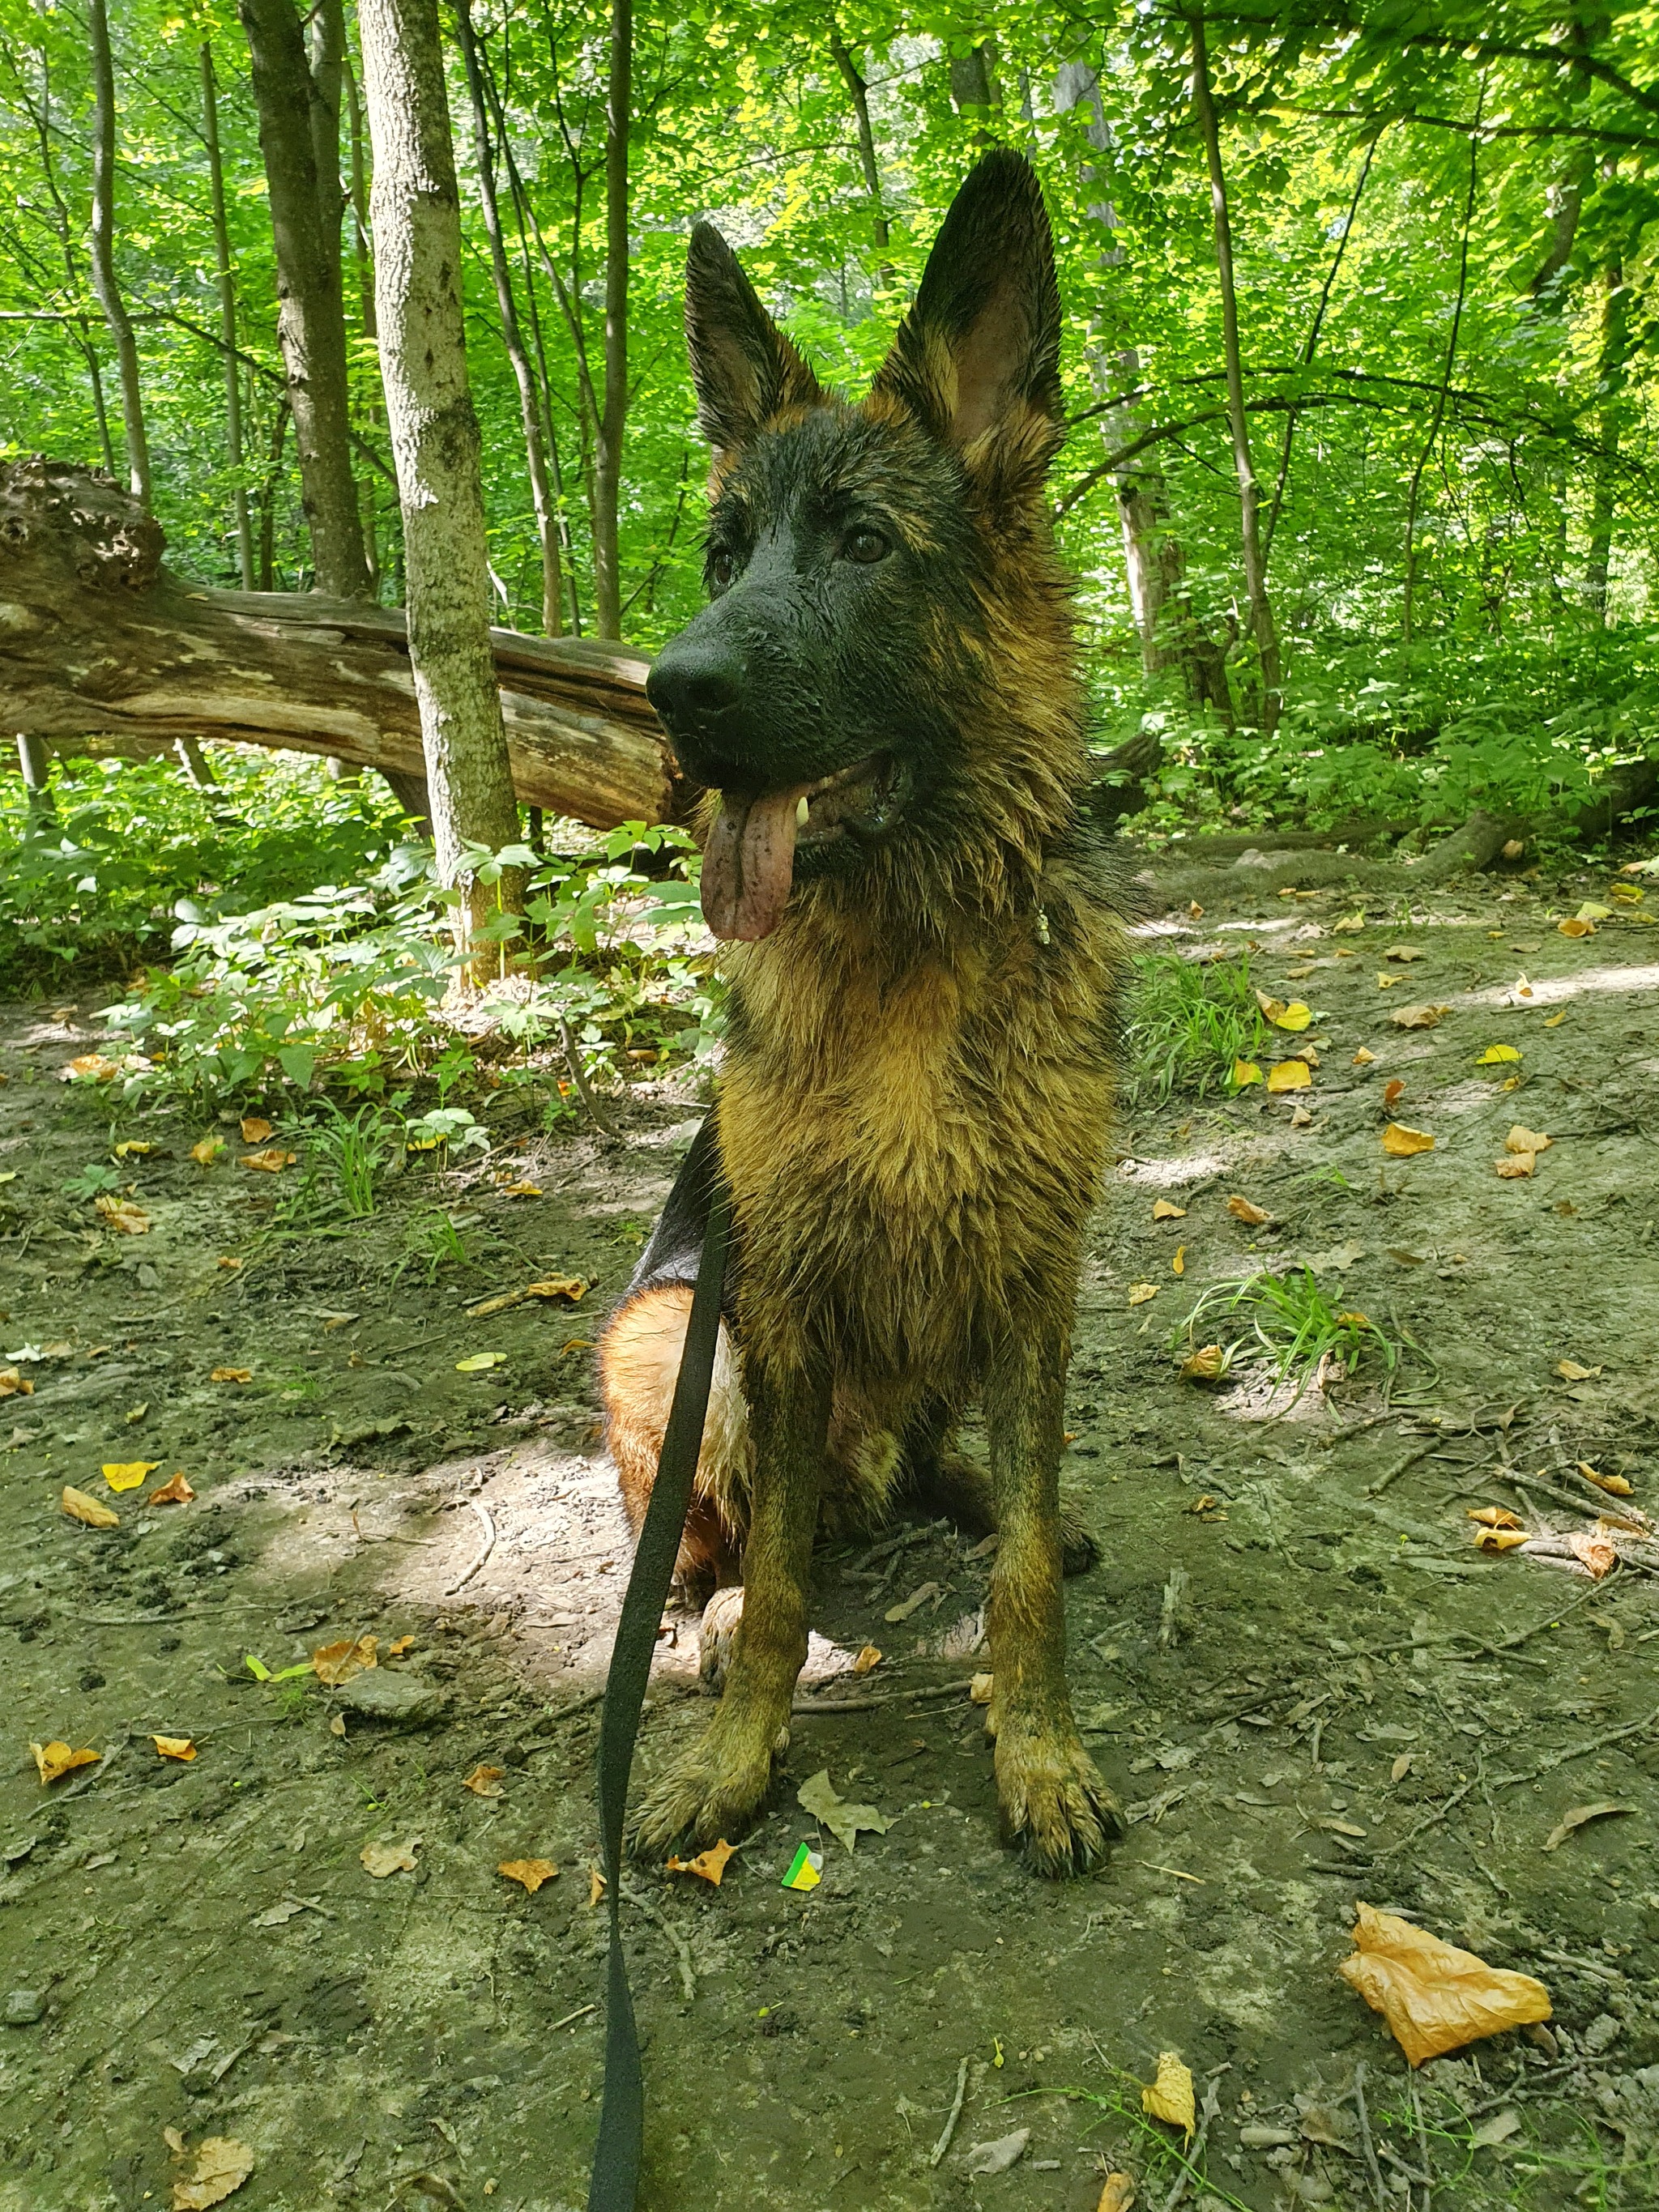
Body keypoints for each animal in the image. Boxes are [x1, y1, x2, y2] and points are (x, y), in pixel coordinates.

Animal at [597, 151, 1132, 1866]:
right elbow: (776, 1589)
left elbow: (1019, 1572)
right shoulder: (773, 1299)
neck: (907, 946)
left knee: (970, 1478)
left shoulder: (1036, 1271)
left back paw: (971, 1489)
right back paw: (696, 1620)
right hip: (659, 1335)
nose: (668, 691)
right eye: (723, 551)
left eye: (859, 545)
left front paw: (1036, 1748)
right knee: (713, 1545)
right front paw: (734, 1754)